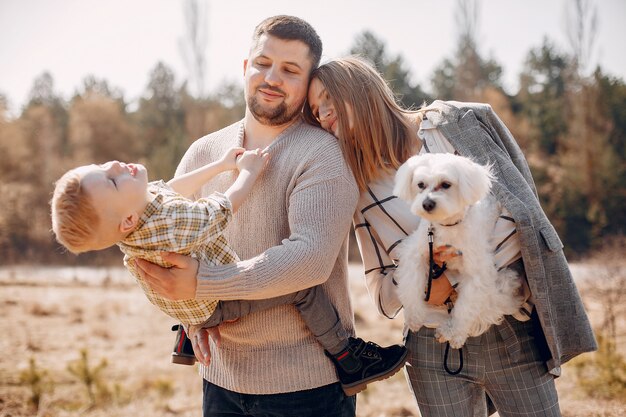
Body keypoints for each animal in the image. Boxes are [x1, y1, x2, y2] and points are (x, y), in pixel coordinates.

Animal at [394, 153, 520, 348]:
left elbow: (465, 308)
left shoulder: (477, 274)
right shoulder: (415, 254)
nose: (427, 204)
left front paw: (454, 333)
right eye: (421, 184)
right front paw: (414, 317)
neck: (448, 227)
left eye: (446, 184)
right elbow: (411, 287)